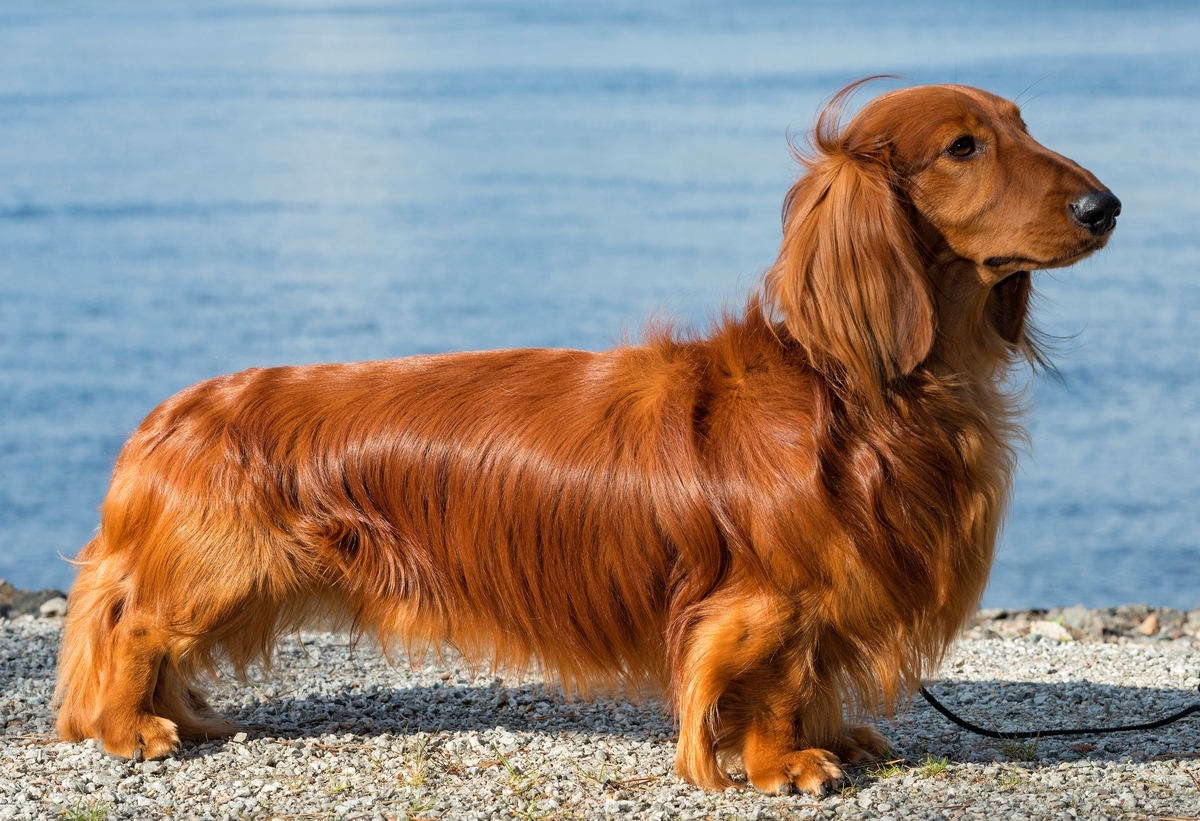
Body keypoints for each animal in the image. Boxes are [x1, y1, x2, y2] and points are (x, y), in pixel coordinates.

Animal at [51, 85, 1118, 796]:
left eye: (1023, 125)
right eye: (964, 147)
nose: (1104, 206)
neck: (853, 387)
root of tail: (169, 418)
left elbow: (814, 675)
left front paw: (836, 735)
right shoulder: (768, 602)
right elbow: (775, 681)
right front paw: (787, 762)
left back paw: (175, 716)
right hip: (220, 569)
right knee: (128, 627)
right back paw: (131, 727)